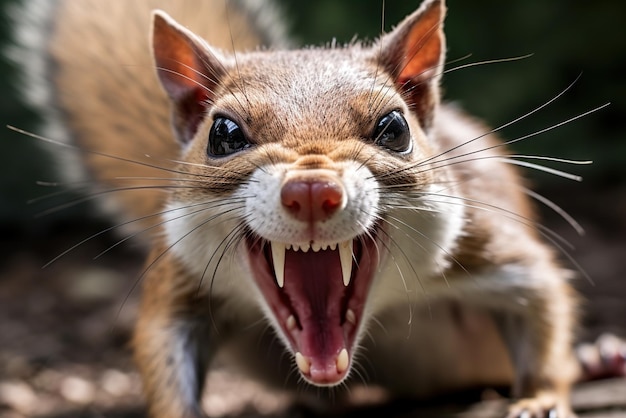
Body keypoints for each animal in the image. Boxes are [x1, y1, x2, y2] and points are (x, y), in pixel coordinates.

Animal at [11, 0, 620, 416]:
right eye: (223, 133)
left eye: (395, 128)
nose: (310, 190)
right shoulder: (181, 279)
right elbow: (163, 346)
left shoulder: (488, 245)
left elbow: (543, 312)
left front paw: (539, 400)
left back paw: (600, 359)